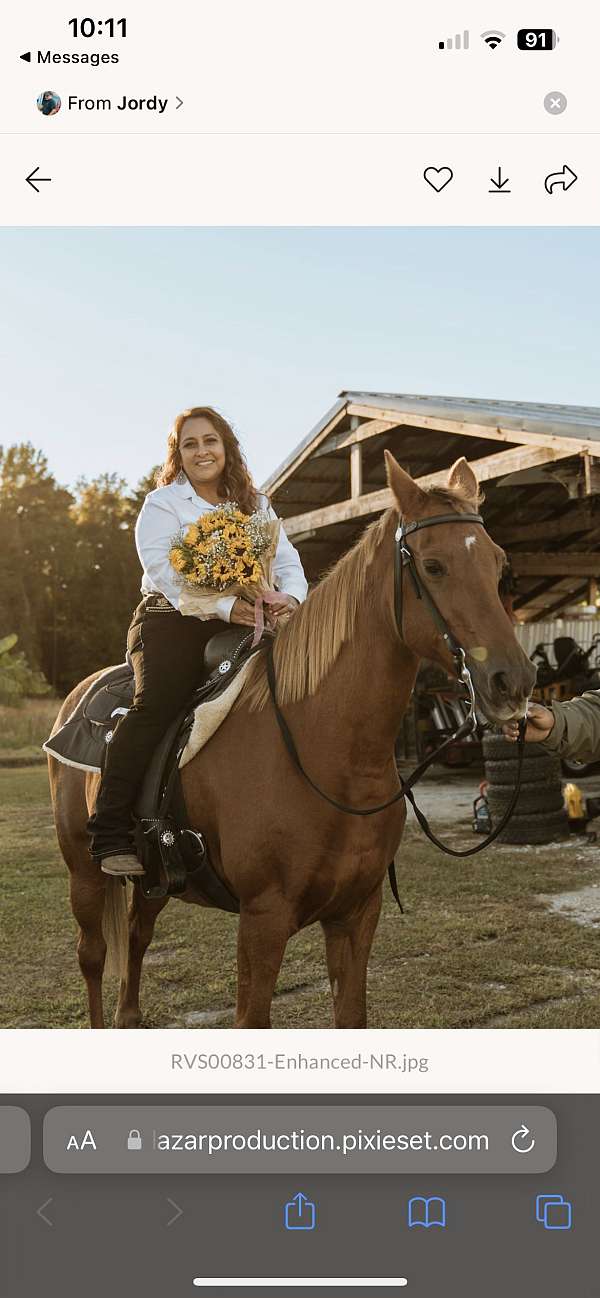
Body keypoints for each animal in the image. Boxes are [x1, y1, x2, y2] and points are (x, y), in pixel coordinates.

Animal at [48, 451, 535, 1028]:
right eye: (434, 566)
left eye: (499, 566)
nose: (513, 683)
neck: (328, 754)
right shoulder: (263, 919)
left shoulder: (356, 914)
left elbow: (351, 1013)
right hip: (83, 872)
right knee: (93, 956)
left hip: (154, 882)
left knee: (138, 938)